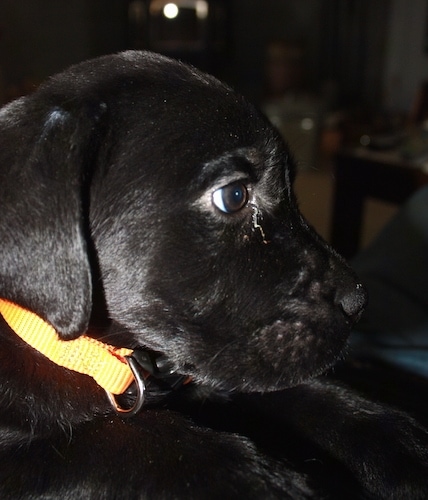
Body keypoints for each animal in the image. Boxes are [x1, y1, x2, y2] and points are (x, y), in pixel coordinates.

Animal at [0, 51, 426, 500]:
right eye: (233, 196)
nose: (358, 301)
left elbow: (310, 392)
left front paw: (400, 440)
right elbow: (133, 439)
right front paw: (265, 481)